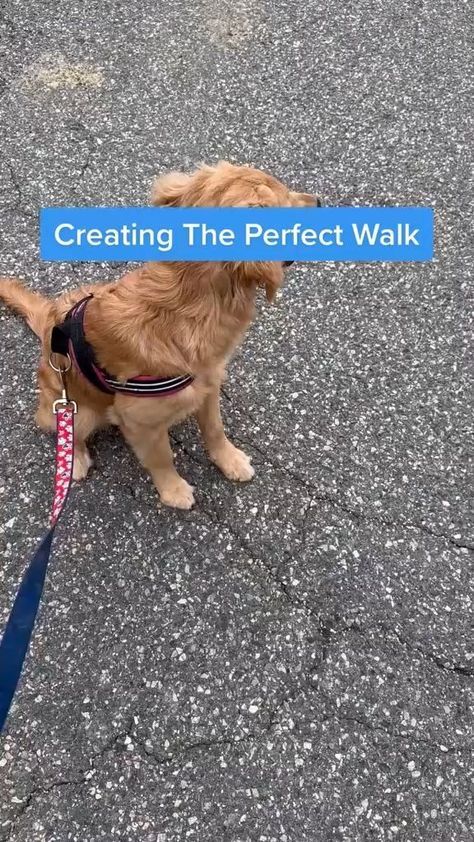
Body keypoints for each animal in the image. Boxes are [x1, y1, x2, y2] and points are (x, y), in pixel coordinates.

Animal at [0, 162, 318, 508]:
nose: (318, 201)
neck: (189, 299)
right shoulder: (140, 423)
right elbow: (162, 459)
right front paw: (173, 490)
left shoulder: (208, 386)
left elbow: (215, 430)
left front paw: (229, 459)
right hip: (76, 410)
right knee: (62, 429)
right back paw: (76, 460)